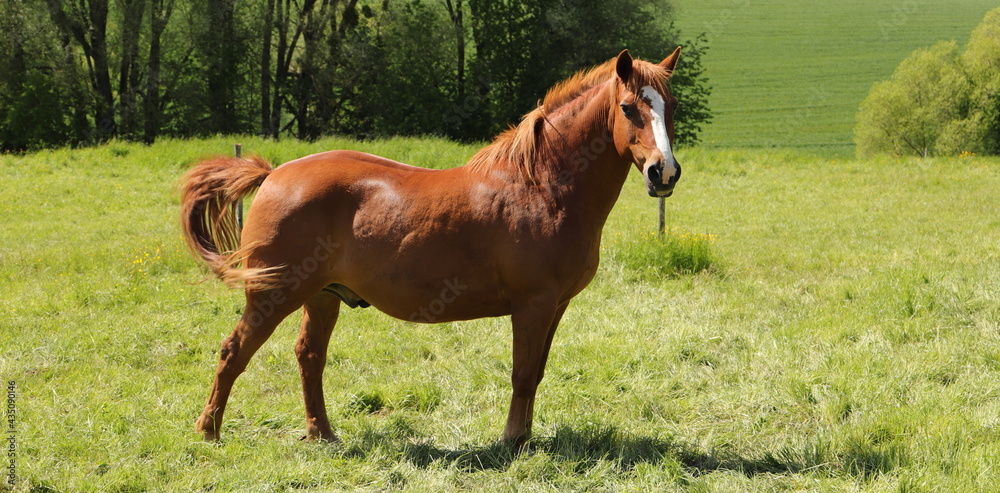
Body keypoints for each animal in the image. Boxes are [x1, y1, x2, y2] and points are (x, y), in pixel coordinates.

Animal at [179, 47, 683, 447]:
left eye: (670, 107)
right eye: (628, 108)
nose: (664, 172)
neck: (542, 186)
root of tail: (274, 174)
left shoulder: (555, 306)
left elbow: (536, 372)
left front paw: (526, 437)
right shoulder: (533, 304)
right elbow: (522, 374)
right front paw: (512, 441)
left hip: (321, 297)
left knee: (309, 357)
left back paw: (321, 433)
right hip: (273, 295)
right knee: (233, 352)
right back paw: (209, 431)